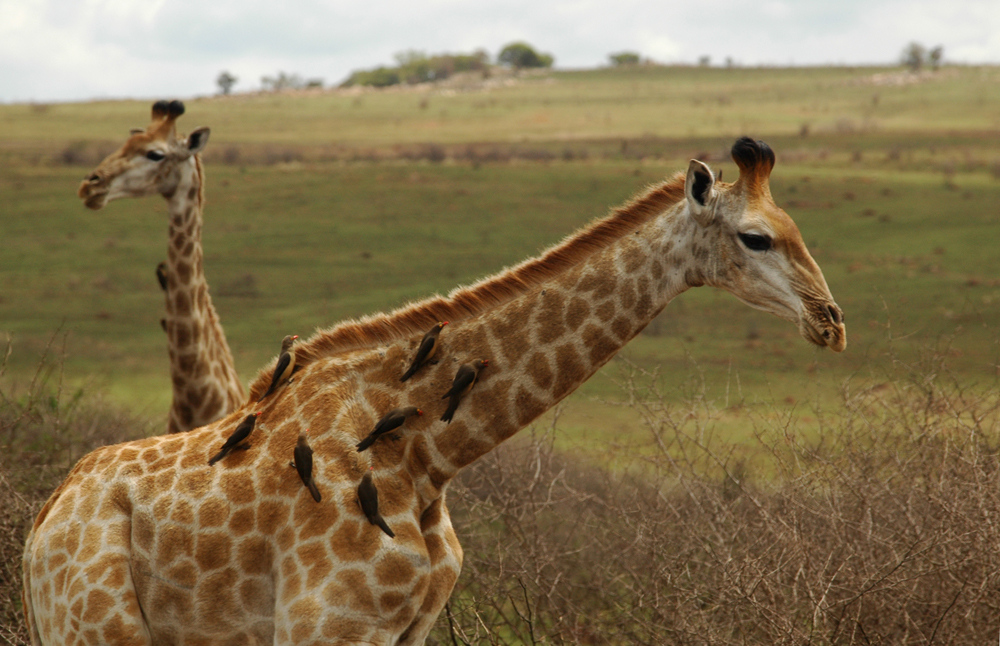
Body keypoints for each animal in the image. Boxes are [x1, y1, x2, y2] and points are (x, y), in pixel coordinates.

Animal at [23, 139, 844, 644]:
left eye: (795, 226)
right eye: (755, 237)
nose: (831, 323)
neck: (428, 452)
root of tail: (40, 526)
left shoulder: (407, 628)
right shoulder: (327, 627)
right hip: (97, 630)